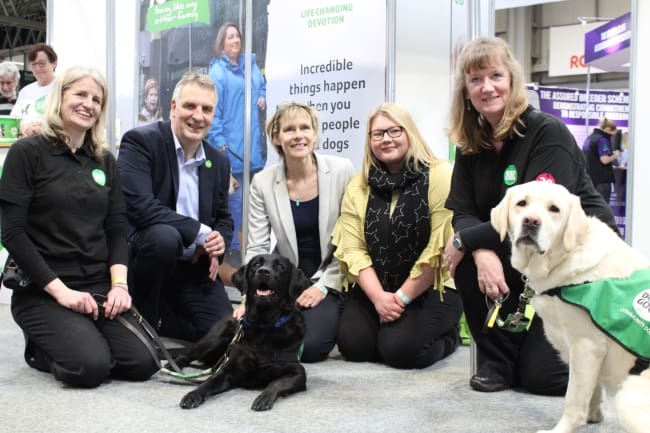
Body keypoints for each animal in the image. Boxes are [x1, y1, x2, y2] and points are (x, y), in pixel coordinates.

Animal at [173, 251, 310, 410]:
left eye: (280, 266)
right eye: (257, 264)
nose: (263, 271)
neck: (264, 325)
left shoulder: (297, 372)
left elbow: (277, 383)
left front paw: (264, 398)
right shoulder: (228, 370)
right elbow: (208, 382)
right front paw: (193, 394)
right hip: (213, 340)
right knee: (188, 353)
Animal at [492, 180, 648, 432]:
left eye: (554, 209)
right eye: (522, 203)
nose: (531, 221)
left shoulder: (585, 345)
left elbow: (573, 398)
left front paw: (563, 428)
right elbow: (592, 390)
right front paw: (593, 415)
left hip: (627, 396)